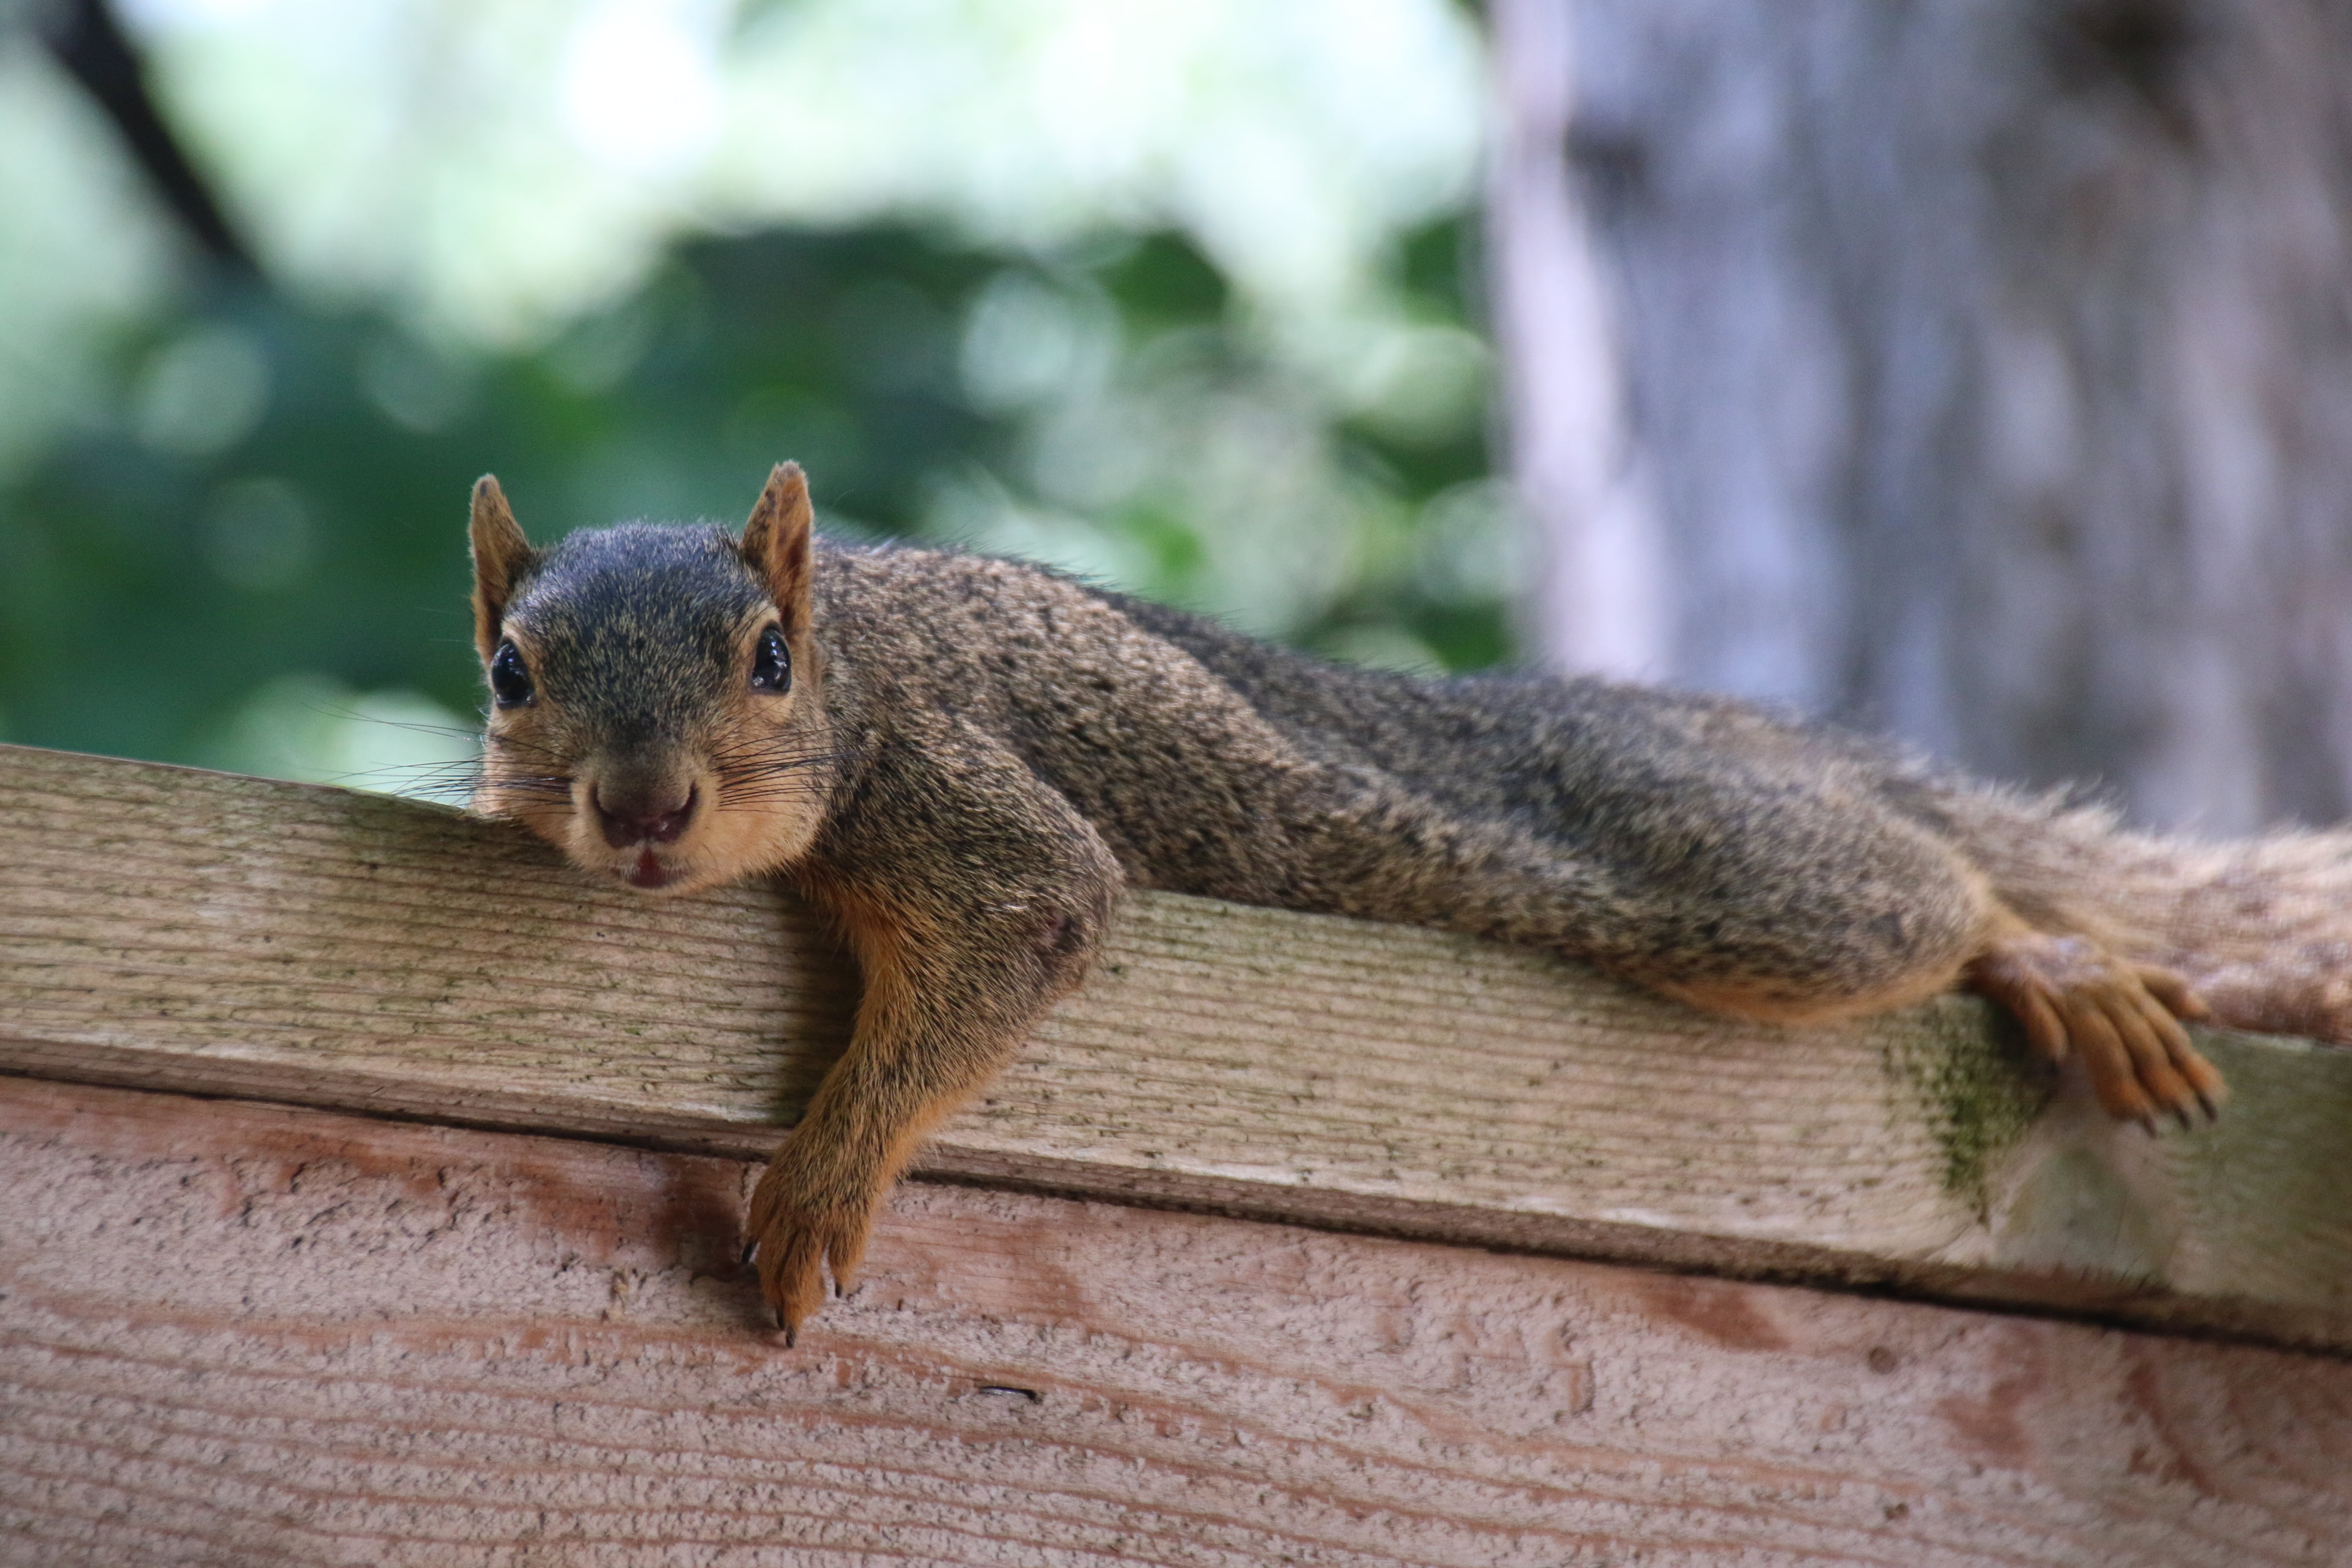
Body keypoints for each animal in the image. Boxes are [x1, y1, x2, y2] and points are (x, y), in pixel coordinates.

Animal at [466, 462, 2352, 1339]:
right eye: (508, 677)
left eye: (769, 662)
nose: (641, 809)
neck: (862, 656)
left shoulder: (950, 789)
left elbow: (1029, 917)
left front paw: (814, 1193)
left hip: (1742, 879)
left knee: (1929, 897)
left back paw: (2048, 954)